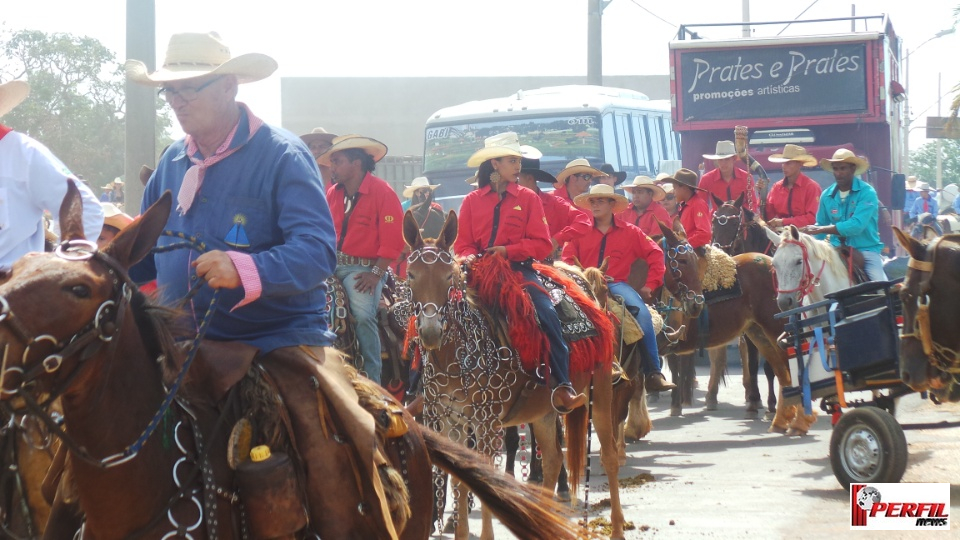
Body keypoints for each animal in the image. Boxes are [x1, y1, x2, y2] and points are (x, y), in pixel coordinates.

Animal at [0, 185, 576, 540]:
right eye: (15, 270)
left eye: (79, 288)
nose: (430, 331)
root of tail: (404, 427)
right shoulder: (451, 414)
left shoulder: (483, 419)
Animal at [402, 210, 628, 540]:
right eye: (411, 275)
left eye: (449, 276)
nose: (431, 332)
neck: (457, 354)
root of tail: (582, 285)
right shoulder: (449, 419)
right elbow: (459, 479)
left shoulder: (485, 420)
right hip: (544, 410)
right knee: (552, 460)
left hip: (599, 391)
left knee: (609, 456)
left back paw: (617, 527)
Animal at [652, 219, 816, 434]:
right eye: (682, 261)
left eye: (691, 261)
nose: (696, 304)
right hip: (758, 332)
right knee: (779, 369)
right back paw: (780, 418)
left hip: (774, 327)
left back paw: (794, 418)